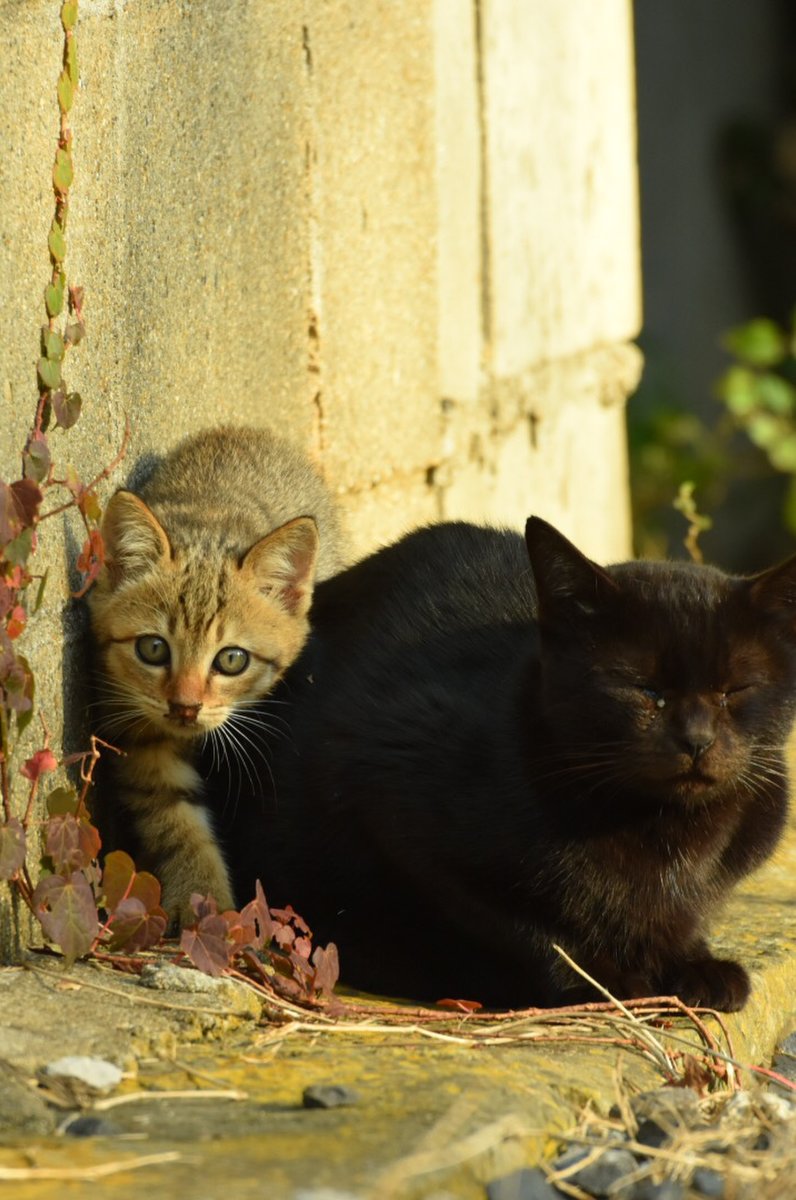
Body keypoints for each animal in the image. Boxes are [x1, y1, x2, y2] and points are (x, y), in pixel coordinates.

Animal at [88, 427, 343, 921]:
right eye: (153, 649)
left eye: (231, 660)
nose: (185, 707)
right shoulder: (142, 739)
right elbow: (177, 825)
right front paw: (204, 903)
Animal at [210, 518, 796, 1012]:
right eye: (644, 689)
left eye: (735, 690)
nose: (697, 739)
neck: (657, 826)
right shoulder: (391, 798)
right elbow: (526, 929)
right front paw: (599, 979)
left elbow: (684, 913)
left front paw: (694, 963)